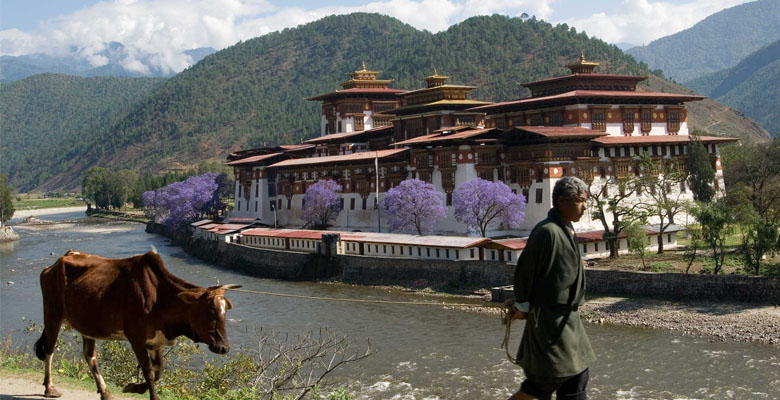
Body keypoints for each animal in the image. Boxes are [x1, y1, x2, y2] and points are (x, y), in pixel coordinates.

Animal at [35, 250, 241, 400]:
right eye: (211, 312)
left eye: (225, 312)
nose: (224, 347)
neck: (159, 295)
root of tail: (55, 263)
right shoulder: (136, 337)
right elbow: (149, 370)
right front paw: (149, 395)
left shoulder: (155, 339)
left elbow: (159, 370)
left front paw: (134, 387)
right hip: (52, 315)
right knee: (49, 350)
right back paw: (50, 388)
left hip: (87, 324)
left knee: (89, 355)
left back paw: (105, 392)